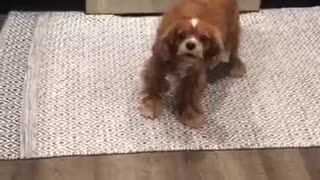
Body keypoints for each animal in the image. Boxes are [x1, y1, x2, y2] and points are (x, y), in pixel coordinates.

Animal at [139, 0, 246, 128]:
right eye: (181, 35)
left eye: (203, 38)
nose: (190, 45)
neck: (181, 58)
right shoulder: (158, 63)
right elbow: (154, 84)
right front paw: (151, 105)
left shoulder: (194, 74)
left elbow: (189, 95)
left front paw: (190, 115)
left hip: (232, 33)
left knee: (234, 52)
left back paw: (236, 66)